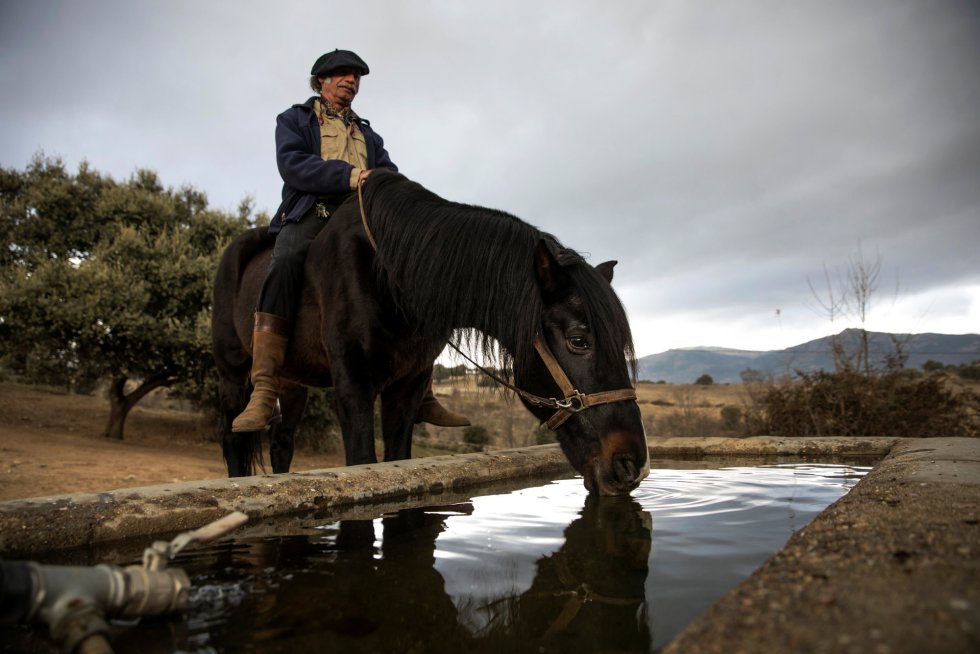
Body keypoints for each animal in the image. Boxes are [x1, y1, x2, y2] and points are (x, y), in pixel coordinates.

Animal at [211, 172, 648, 494]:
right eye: (579, 340)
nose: (632, 465)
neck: (390, 270)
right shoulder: (353, 385)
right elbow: (363, 463)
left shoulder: (408, 387)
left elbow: (397, 461)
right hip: (232, 375)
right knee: (233, 441)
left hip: (293, 383)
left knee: (282, 441)